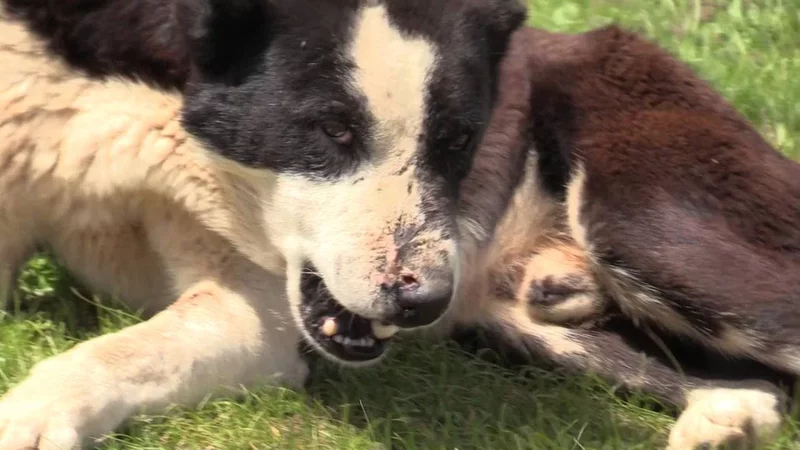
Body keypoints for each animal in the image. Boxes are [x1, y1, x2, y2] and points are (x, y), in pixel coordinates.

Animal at [0, 0, 526, 448]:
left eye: (458, 140)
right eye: (334, 130)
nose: (426, 303)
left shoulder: (257, 311)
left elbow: (131, 349)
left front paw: (34, 412)